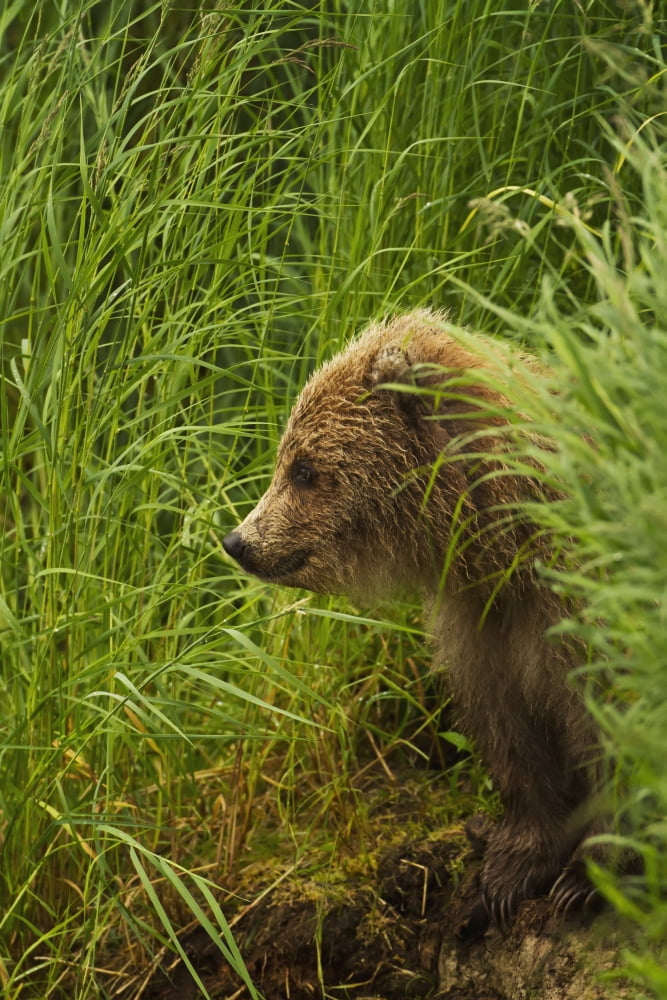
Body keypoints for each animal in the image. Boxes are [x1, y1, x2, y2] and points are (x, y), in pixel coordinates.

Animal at [222, 308, 602, 933]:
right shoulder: (479, 624)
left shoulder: (575, 601)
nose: (239, 541)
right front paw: (507, 870)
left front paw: (584, 879)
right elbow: (511, 734)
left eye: (305, 469)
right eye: (287, 459)